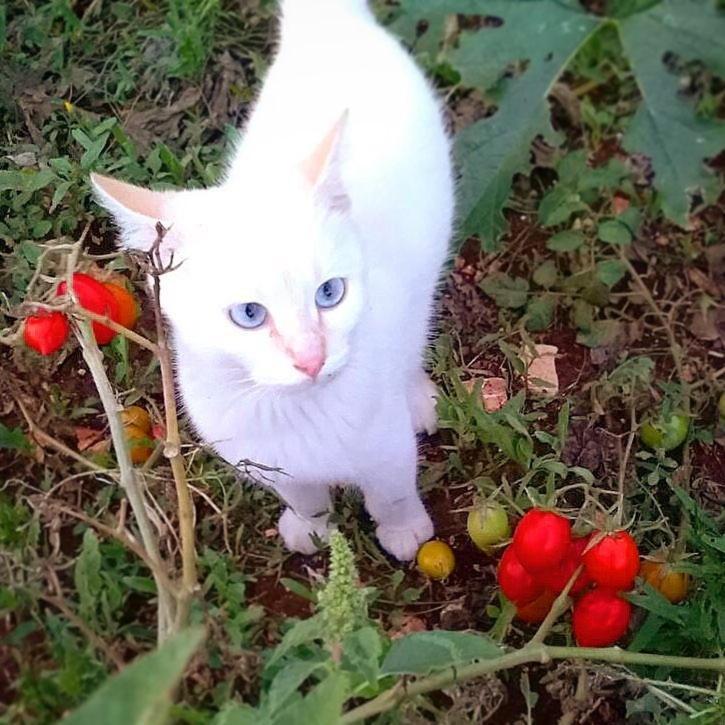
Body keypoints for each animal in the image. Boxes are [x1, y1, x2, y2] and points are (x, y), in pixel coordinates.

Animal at [90, 0, 452, 560]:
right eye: (249, 315)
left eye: (330, 293)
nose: (311, 359)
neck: (287, 412)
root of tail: (329, 26)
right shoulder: (260, 457)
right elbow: (301, 492)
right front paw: (311, 525)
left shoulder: (383, 441)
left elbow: (390, 486)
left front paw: (403, 530)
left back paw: (415, 394)